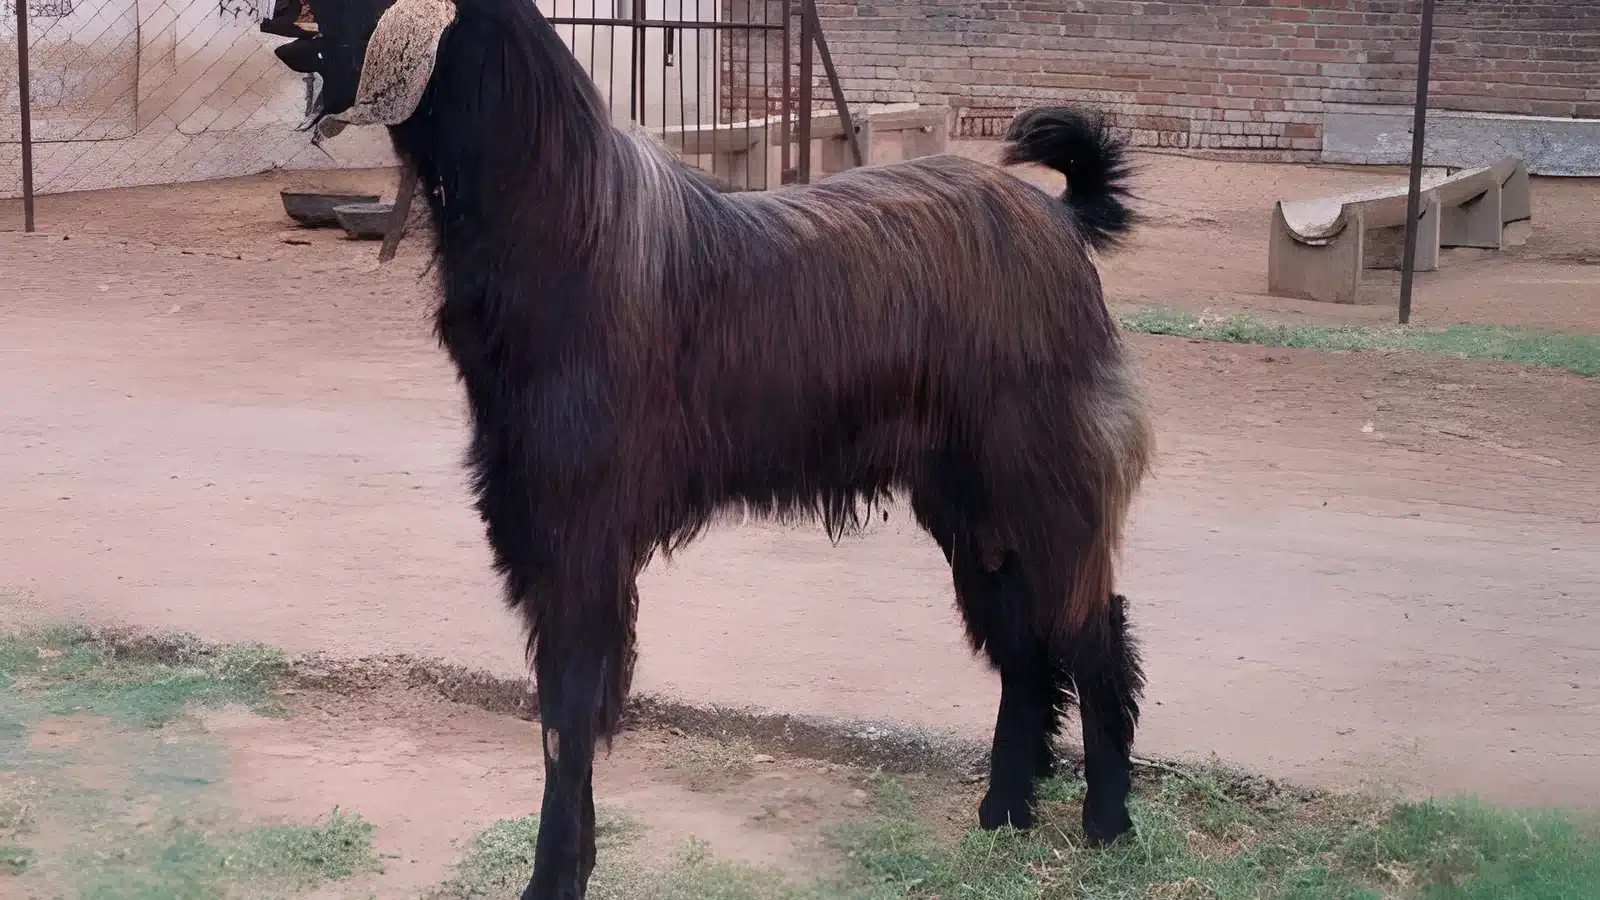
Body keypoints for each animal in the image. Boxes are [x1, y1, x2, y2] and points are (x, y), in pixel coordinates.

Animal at [291, 0, 1152, 896]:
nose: (278, 21)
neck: (564, 225)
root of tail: (1057, 220)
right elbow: (565, 717)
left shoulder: (580, 539)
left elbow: (569, 717)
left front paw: (556, 872)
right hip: (970, 506)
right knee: (1024, 645)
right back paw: (1006, 808)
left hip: (1040, 487)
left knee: (1093, 637)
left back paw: (1106, 818)